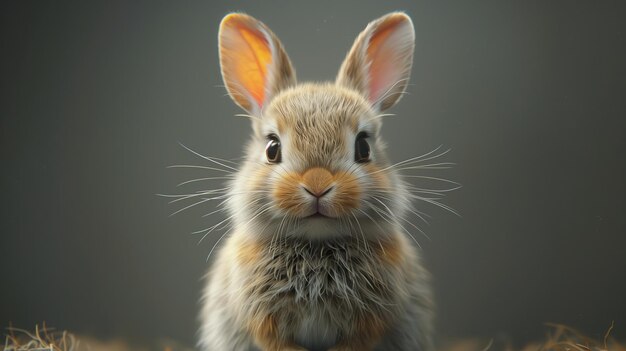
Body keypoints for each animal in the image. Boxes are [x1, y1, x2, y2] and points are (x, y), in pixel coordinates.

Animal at [199, 11, 434, 351]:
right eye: (272, 148)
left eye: (363, 147)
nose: (318, 184)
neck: (316, 245)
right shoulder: (262, 321)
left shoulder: (371, 322)